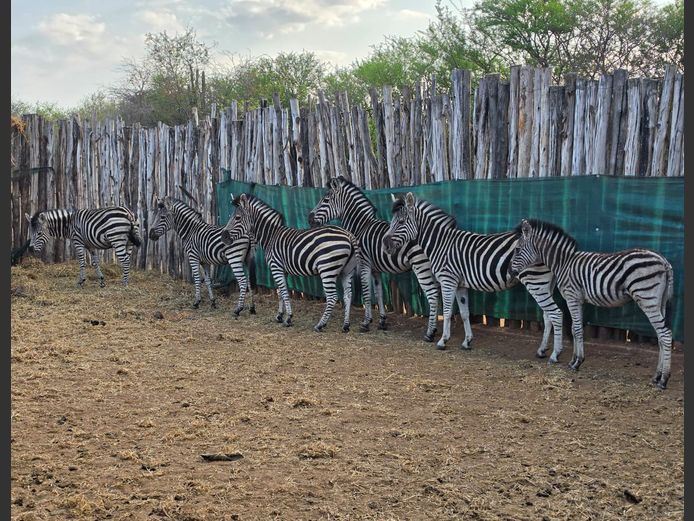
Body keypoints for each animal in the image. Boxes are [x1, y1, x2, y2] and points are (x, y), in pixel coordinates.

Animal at [221, 192, 370, 333]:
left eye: (237, 218)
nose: (224, 237)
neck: (271, 236)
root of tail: (349, 235)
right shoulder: (282, 270)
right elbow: (280, 292)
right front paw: (279, 316)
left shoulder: (276, 267)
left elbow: (284, 292)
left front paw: (288, 318)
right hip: (347, 270)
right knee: (348, 296)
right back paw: (346, 326)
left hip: (327, 269)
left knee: (333, 297)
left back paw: (320, 325)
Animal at [308, 176, 439, 341]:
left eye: (325, 200)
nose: (309, 219)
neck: (361, 226)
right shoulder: (376, 269)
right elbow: (379, 293)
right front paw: (382, 321)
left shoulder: (364, 264)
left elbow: (366, 292)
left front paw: (366, 323)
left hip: (421, 266)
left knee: (433, 295)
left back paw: (430, 332)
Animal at [382, 192, 563, 359]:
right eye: (392, 221)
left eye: (401, 222)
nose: (385, 245)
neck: (441, 244)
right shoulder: (460, 284)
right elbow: (464, 313)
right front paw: (467, 341)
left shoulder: (448, 280)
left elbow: (447, 311)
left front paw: (443, 341)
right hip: (545, 284)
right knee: (548, 316)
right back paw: (542, 350)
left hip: (535, 280)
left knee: (555, 313)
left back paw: (555, 354)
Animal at [509, 218, 674, 389]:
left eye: (517, 249)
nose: (510, 272)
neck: (563, 263)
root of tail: (663, 261)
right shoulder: (579, 300)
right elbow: (575, 329)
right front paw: (574, 361)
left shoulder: (572, 297)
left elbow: (576, 329)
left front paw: (577, 362)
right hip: (659, 302)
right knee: (660, 336)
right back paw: (657, 376)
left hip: (647, 298)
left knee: (665, 334)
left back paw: (664, 380)